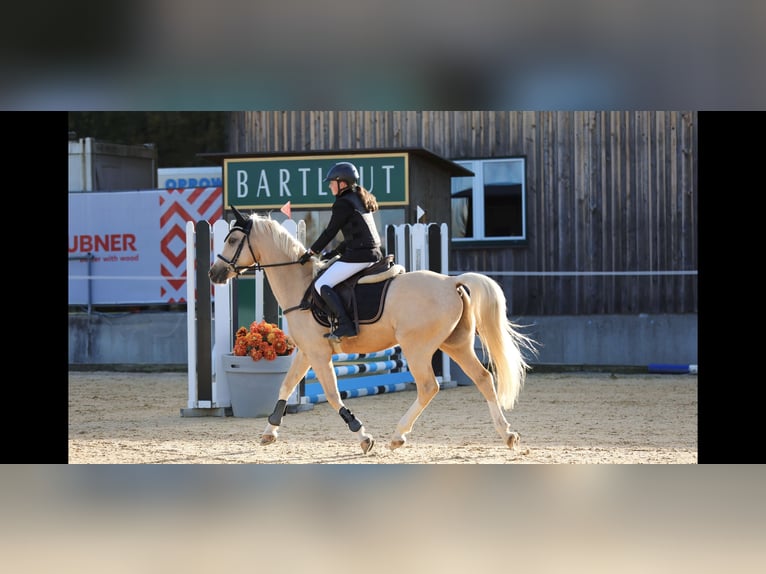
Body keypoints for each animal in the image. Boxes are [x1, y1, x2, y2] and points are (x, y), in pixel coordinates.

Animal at [207, 209, 536, 456]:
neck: (300, 285)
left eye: (233, 239)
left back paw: (398, 436)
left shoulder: (319, 354)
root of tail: (450, 282)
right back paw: (507, 434)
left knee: (428, 387)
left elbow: (332, 394)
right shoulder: (306, 352)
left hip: (417, 348)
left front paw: (363, 436)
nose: (214, 273)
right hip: (455, 345)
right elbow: (285, 387)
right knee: (483, 378)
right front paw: (269, 431)